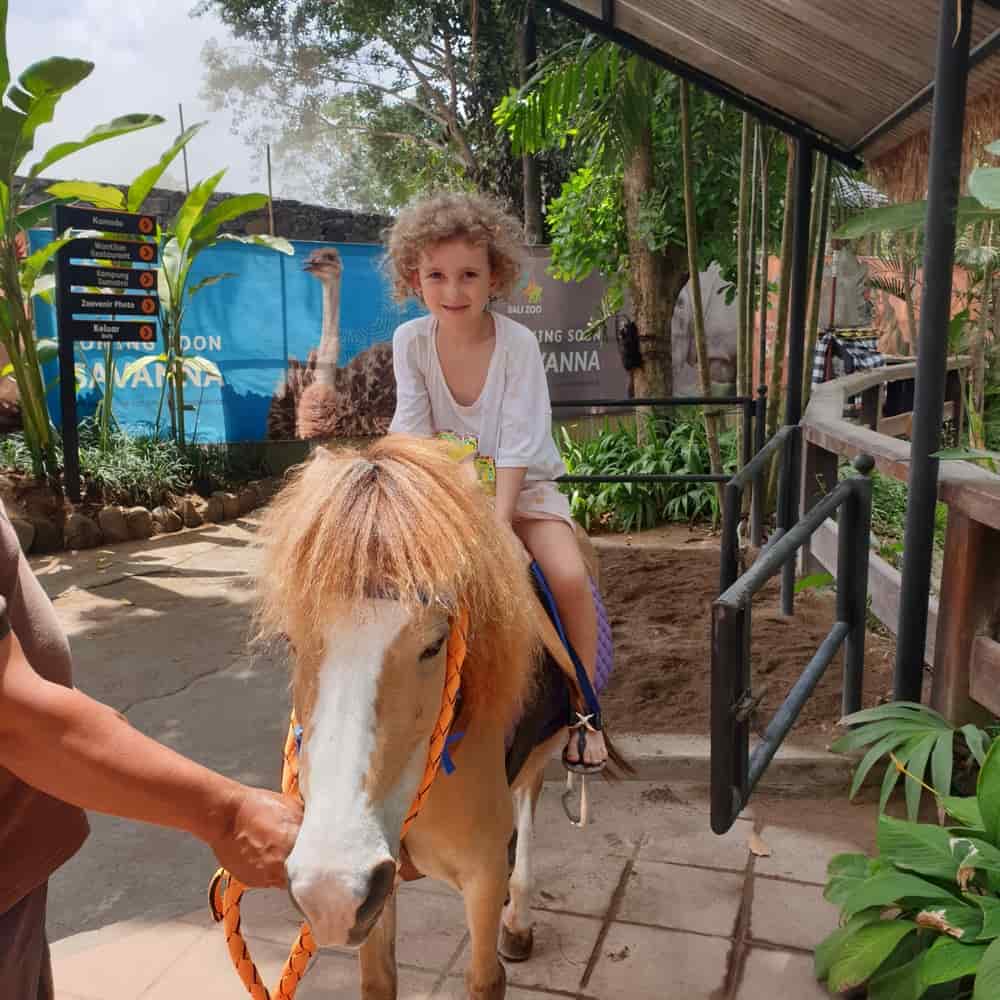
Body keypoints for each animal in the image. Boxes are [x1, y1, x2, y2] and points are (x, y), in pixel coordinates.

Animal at [254, 436, 608, 1000]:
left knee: (529, 806)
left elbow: (485, 977)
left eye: (435, 642)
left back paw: (518, 921)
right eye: (292, 639)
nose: (329, 888)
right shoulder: (377, 888)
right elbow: (378, 980)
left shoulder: (480, 876)